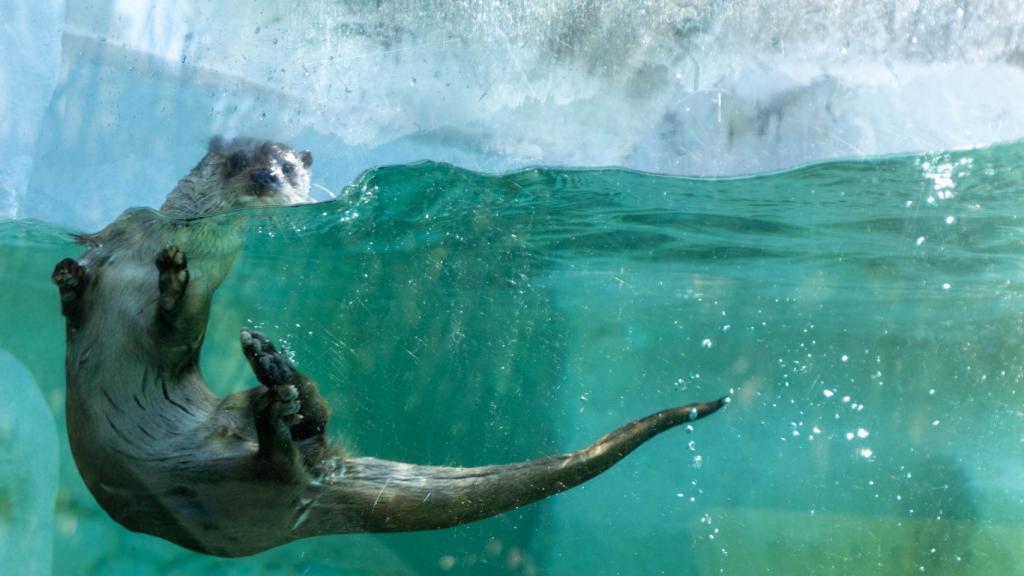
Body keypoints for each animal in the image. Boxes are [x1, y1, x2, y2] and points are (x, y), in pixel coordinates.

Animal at [54, 136, 729, 553]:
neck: (174, 236)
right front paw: (68, 277)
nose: (267, 177)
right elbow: (85, 286)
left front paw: (172, 279)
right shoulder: (122, 234)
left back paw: (278, 392)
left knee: (287, 458)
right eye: (238, 157)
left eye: (290, 168)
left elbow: (177, 330)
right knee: (307, 433)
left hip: (245, 499)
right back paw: (278, 383)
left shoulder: (196, 311)